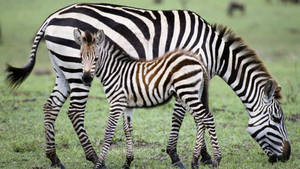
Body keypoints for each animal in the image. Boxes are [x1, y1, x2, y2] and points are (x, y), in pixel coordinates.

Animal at [73, 28, 220, 169]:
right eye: (80, 57)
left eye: (96, 58)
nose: (86, 79)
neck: (115, 72)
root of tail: (198, 61)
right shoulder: (127, 105)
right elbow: (127, 130)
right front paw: (127, 162)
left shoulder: (116, 103)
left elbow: (109, 131)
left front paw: (99, 164)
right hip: (189, 94)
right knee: (200, 121)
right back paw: (194, 161)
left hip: (188, 92)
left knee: (207, 118)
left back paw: (217, 159)